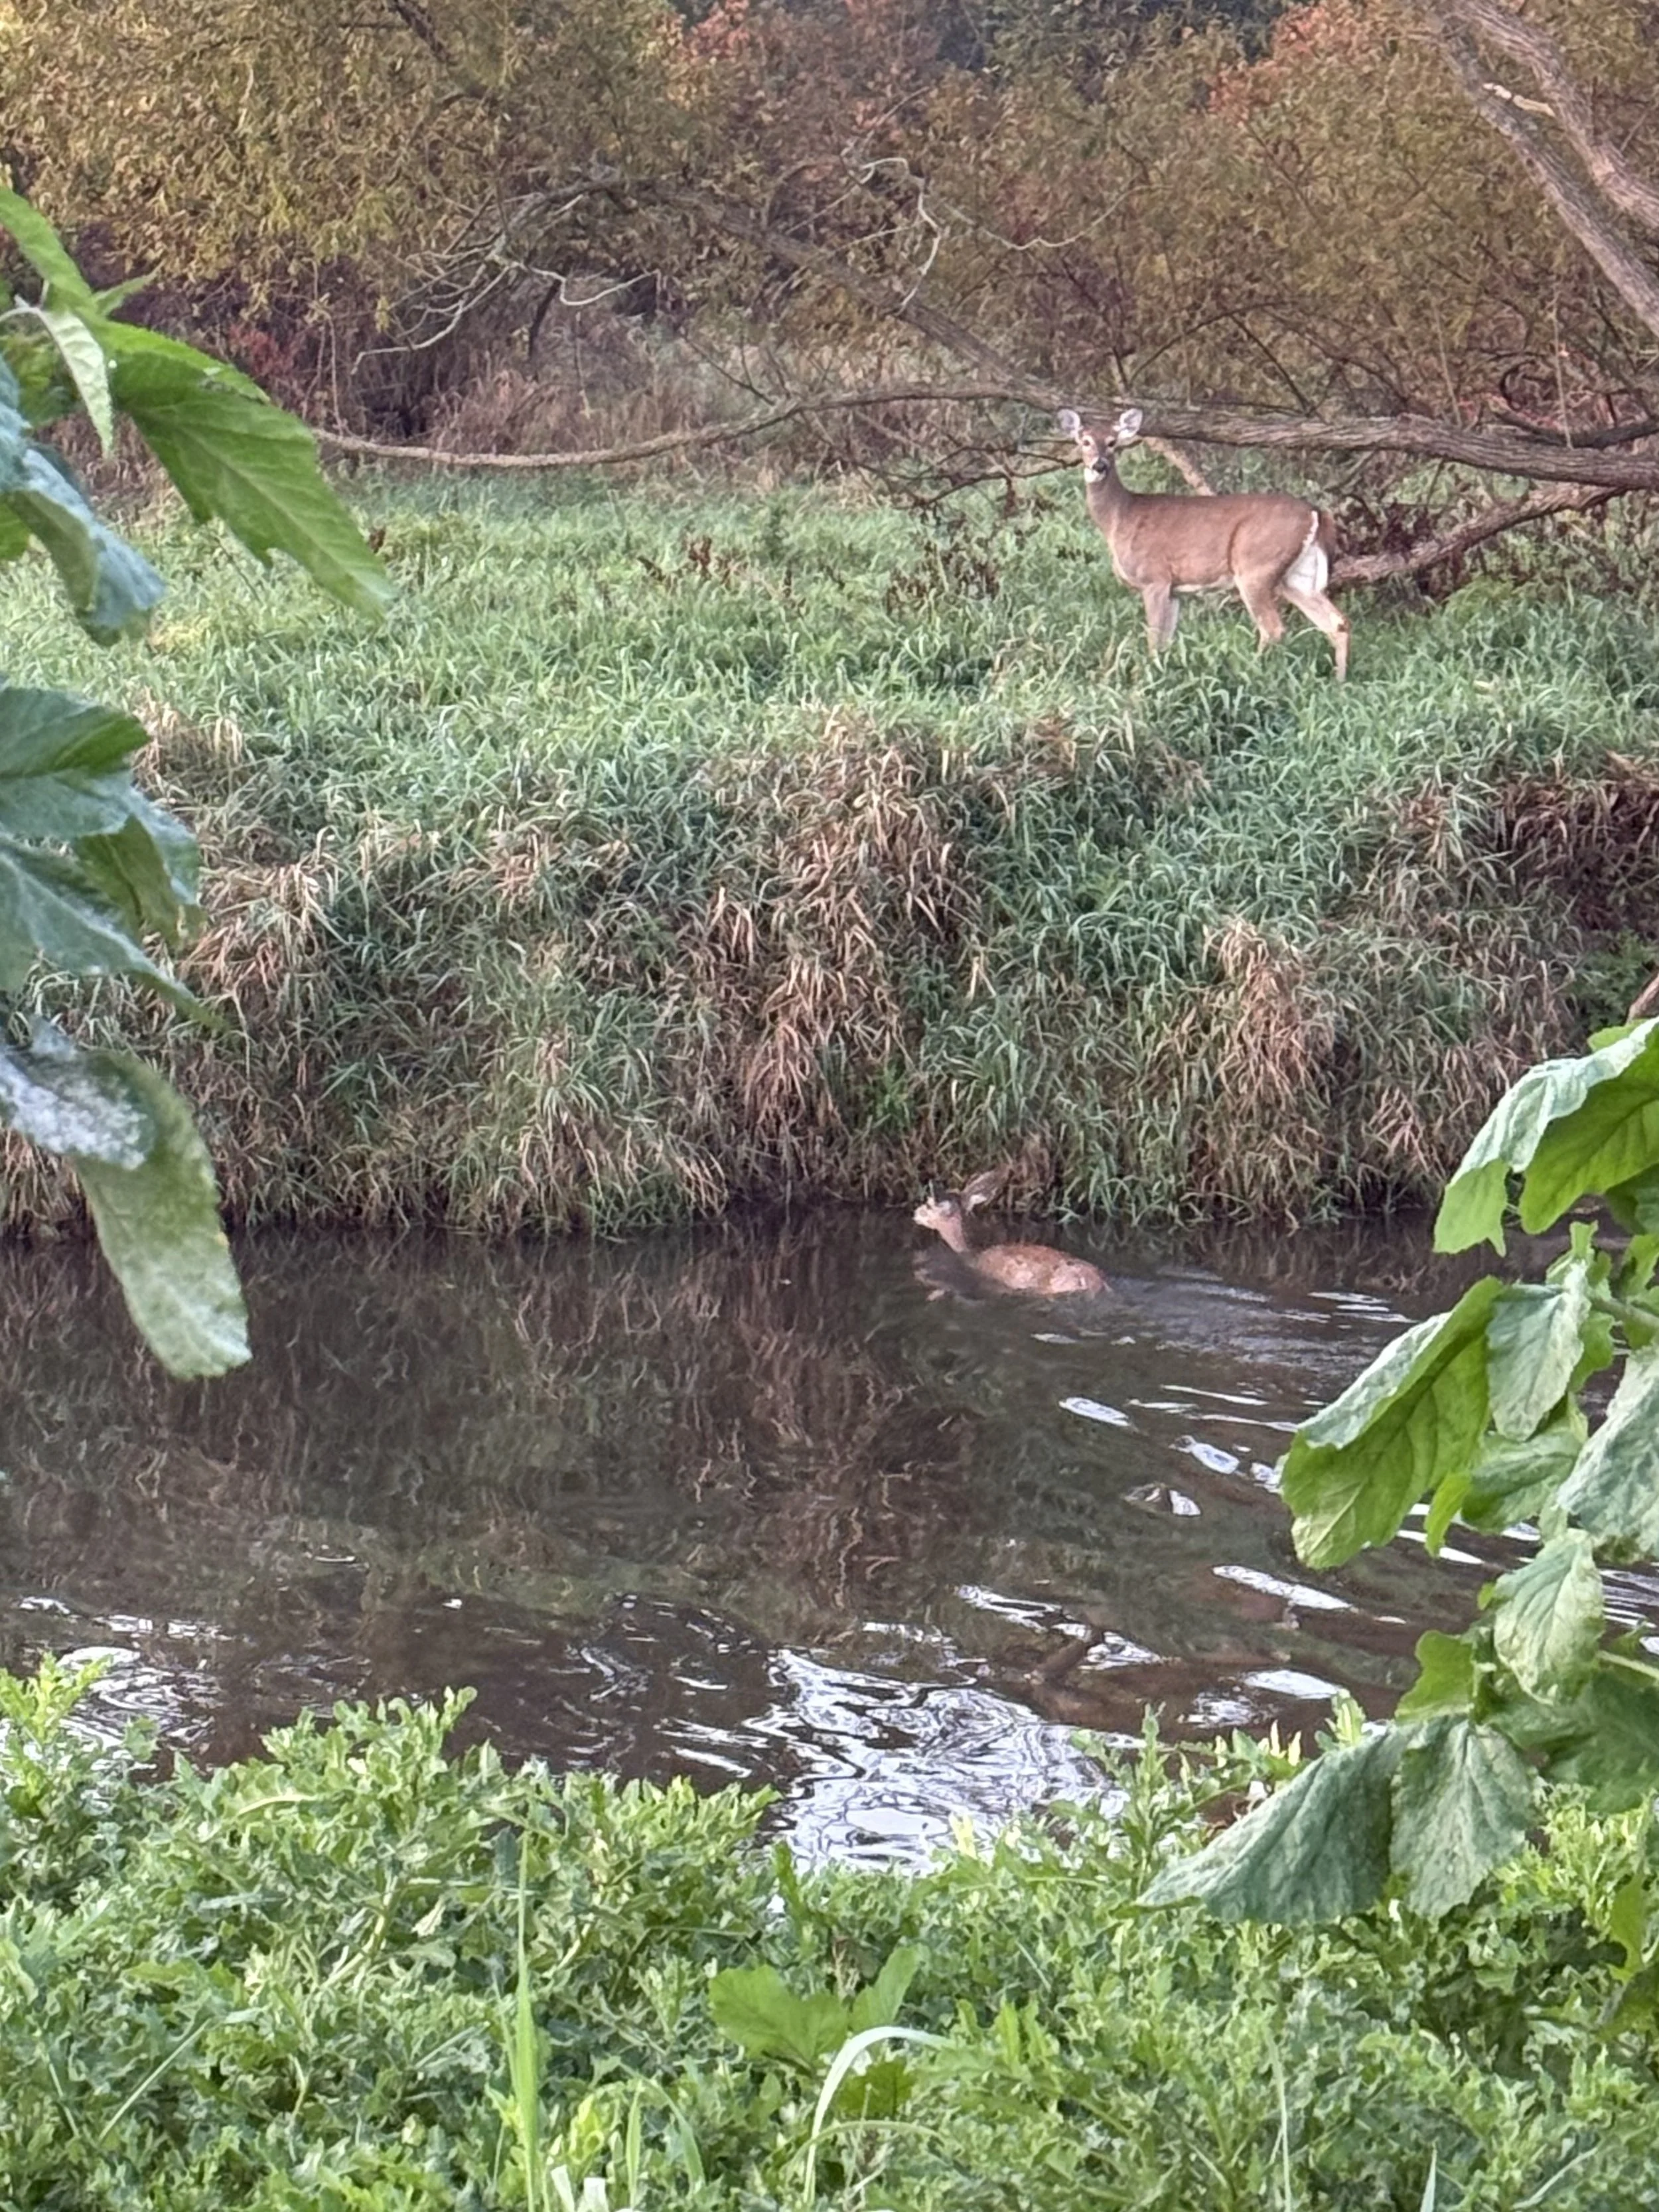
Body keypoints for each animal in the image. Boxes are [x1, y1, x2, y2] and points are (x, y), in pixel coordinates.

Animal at [1058, 406, 1349, 680]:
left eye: (1112, 442)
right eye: (1084, 441)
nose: (1099, 466)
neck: (1119, 517)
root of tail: (1315, 512)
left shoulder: (1154, 578)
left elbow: (1153, 637)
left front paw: (1148, 677)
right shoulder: (1174, 589)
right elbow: (1165, 640)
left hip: (1256, 566)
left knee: (1273, 628)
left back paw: (1251, 672)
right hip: (1297, 577)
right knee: (1337, 622)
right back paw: (1339, 682)